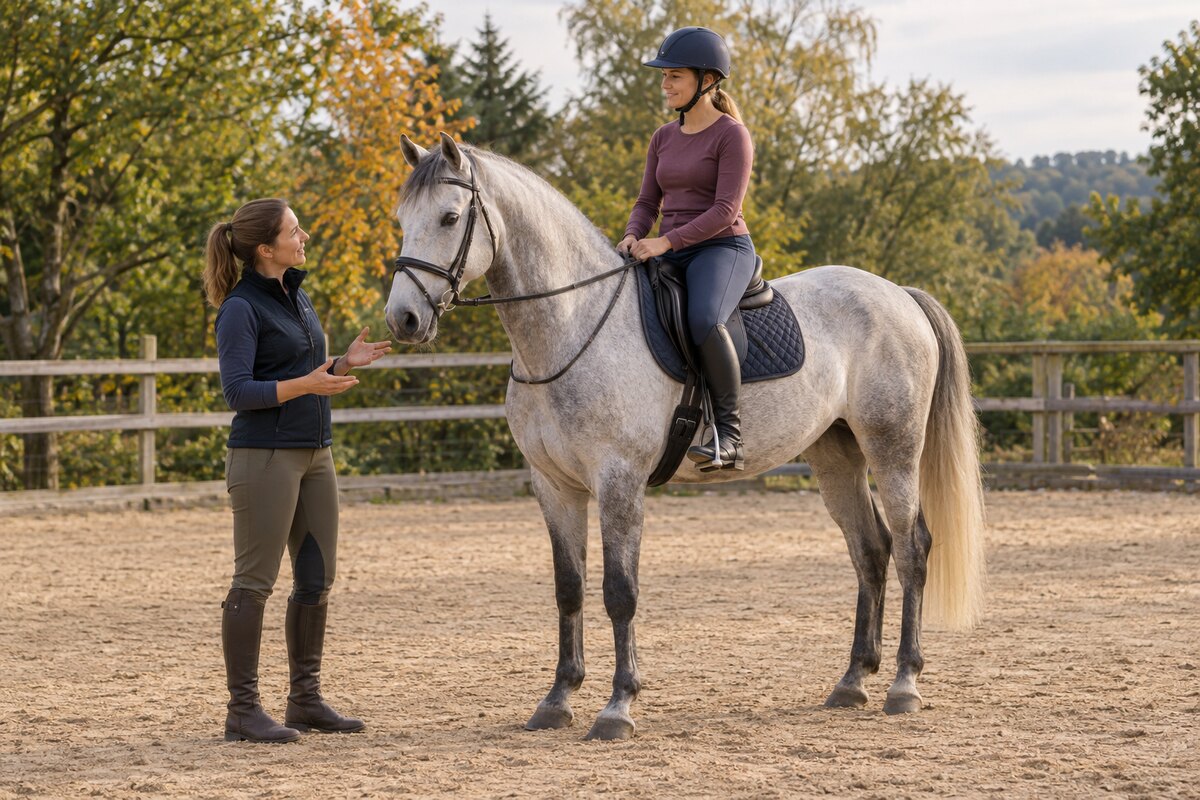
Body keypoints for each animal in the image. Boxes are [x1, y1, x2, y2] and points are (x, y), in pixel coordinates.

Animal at [385, 132, 985, 741]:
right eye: (402, 219)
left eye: (450, 216)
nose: (403, 320)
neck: (569, 328)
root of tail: (898, 295)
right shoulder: (554, 486)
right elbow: (569, 588)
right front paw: (557, 700)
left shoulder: (620, 481)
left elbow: (619, 593)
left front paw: (618, 706)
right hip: (836, 455)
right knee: (870, 550)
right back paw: (852, 681)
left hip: (893, 449)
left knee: (912, 548)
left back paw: (904, 683)